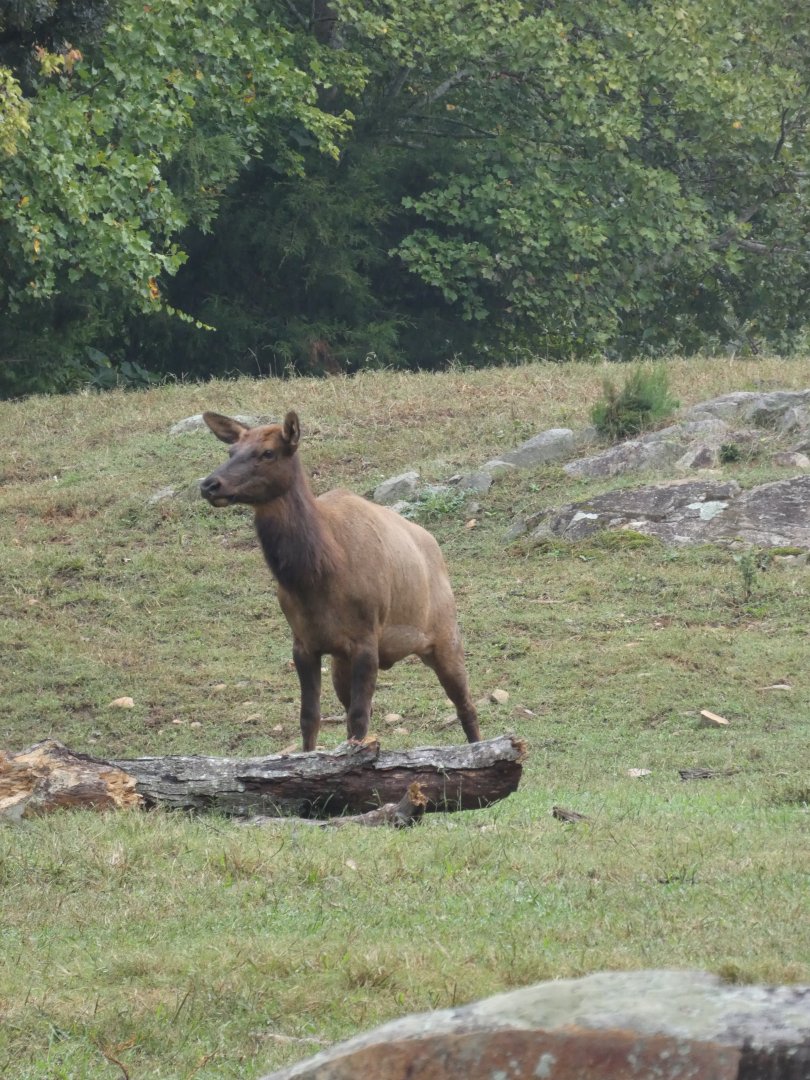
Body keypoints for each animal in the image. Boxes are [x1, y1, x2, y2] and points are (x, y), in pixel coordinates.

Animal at [199, 411, 482, 751]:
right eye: (231, 451)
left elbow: (359, 720)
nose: (209, 485)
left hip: (445, 634)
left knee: (466, 705)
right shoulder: (305, 643)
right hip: (341, 660)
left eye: (268, 452)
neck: (315, 577)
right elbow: (310, 718)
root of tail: (434, 546)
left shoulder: (366, 639)